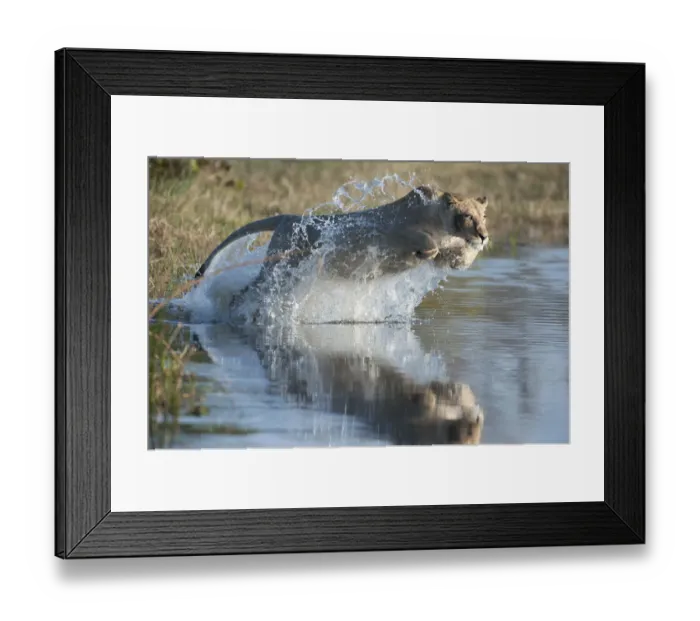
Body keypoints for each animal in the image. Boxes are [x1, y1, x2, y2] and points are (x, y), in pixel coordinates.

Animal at [194, 186, 490, 290]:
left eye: (483, 217)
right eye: (468, 217)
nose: (484, 236)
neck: (445, 228)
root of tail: (288, 217)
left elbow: (456, 258)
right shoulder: (393, 227)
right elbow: (425, 242)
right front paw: (426, 251)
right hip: (280, 266)